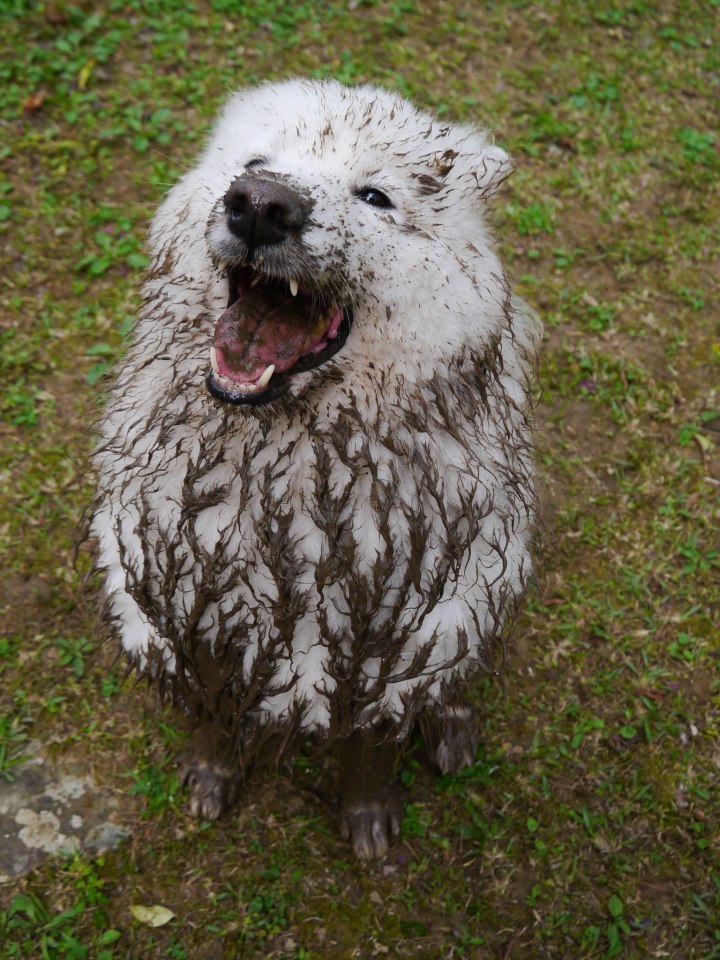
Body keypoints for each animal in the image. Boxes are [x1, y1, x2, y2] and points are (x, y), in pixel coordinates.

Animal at [91, 80, 540, 864]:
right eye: (251, 163)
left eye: (376, 196)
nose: (261, 203)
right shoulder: (191, 604)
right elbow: (215, 712)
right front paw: (213, 772)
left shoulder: (402, 632)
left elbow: (372, 745)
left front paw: (368, 815)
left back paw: (451, 728)